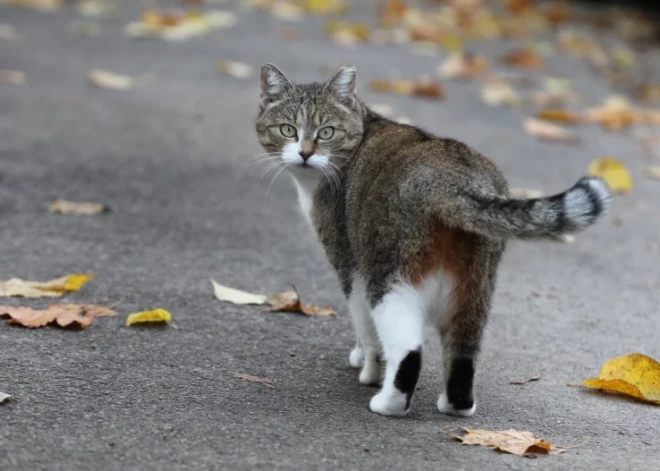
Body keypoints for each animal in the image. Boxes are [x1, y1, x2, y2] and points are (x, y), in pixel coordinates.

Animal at [253, 64, 608, 418]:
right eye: (288, 130)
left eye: (326, 132)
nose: (305, 153)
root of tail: (452, 181)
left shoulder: (349, 264)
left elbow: (366, 330)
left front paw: (369, 369)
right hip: (475, 287)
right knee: (464, 353)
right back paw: (456, 405)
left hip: (390, 276)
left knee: (408, 350)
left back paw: (388, 402)